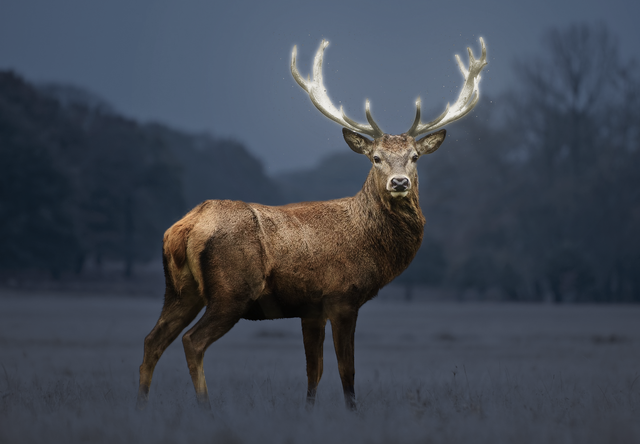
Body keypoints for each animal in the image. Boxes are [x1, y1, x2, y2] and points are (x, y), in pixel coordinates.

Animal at [136, 38, 487, 412]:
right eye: (375, 158)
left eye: (415, 157)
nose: (399, 182)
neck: (371, 245)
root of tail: (186, 226)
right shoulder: (342, 296)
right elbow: (346, 370)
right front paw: (353, 413)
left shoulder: (311, 308)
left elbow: (313, 371)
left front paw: (308, 412)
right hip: (231, 291)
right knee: (192, 341)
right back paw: (205, 407)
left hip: (180, 289)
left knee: (152, 339)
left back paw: (141, 405)